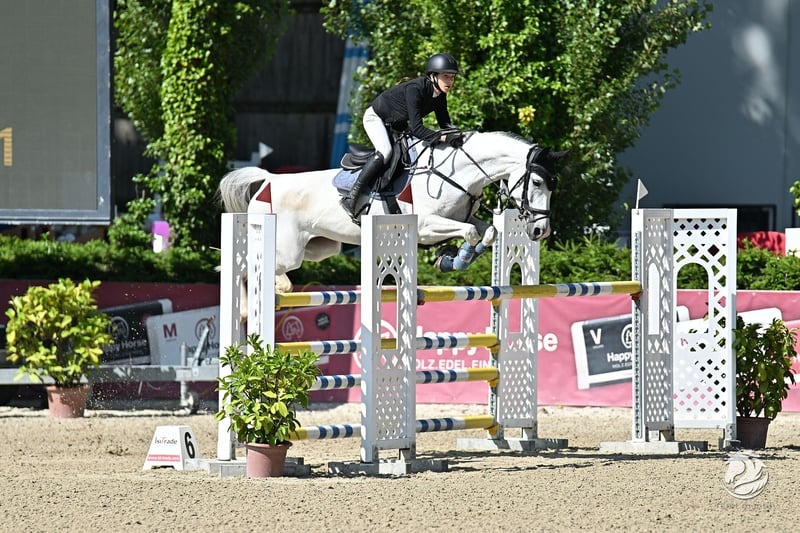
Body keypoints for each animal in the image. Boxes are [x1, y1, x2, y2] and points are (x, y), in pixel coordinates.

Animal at [218, 130, 566, 292]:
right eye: (536, 181)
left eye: (553, 185)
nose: (540, 231)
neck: (456, 172)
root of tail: (270, 180)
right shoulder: (425, 226)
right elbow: (469, 231)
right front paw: (453, 259)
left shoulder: (461, 218)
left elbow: (488, 231)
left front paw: (454, 258)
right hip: (288, 249)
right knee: (253, 268)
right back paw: (263, 297)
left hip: (321, 248)